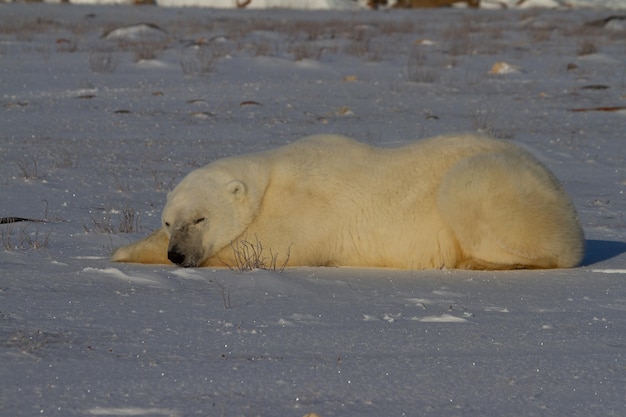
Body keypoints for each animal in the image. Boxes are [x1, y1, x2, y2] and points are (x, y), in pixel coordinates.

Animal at [109, 133, 584, 270]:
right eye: (169, 221)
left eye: (200, 219)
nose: (177, 255)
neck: (270, 178)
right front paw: (123, 249)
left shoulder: (306, 208)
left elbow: (262, 248)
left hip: (493, 182)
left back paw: (475, 262)